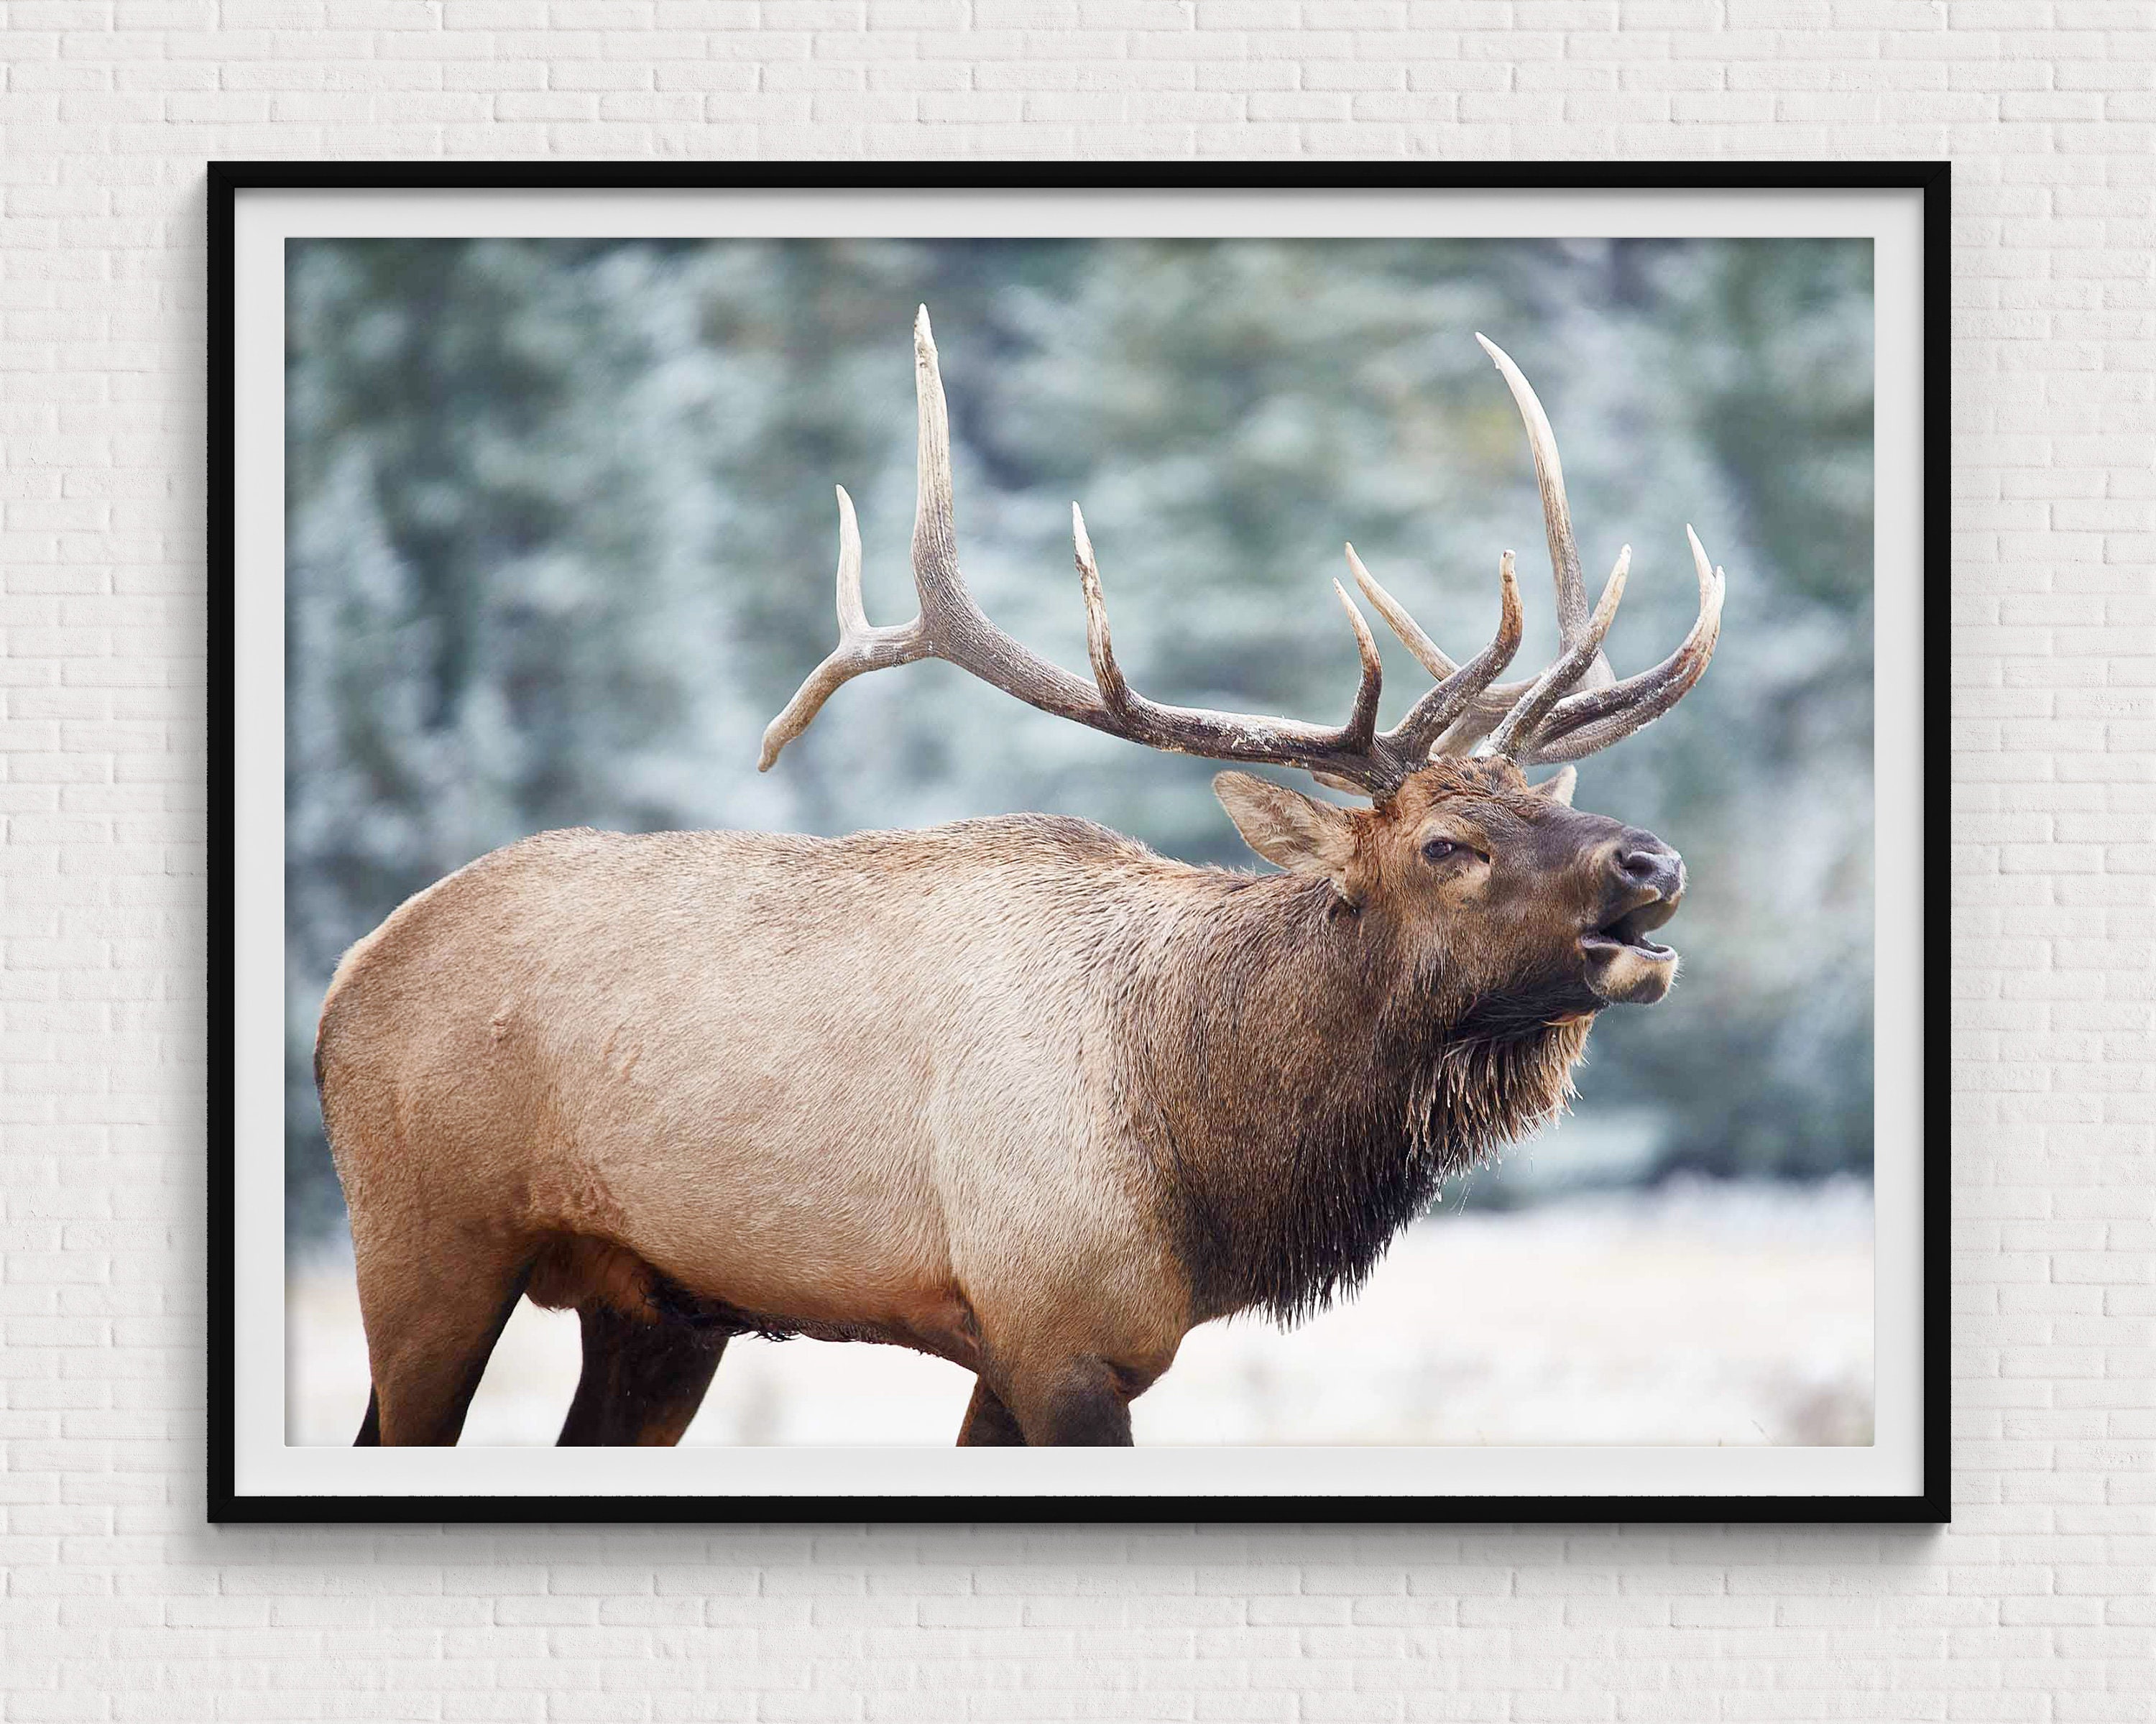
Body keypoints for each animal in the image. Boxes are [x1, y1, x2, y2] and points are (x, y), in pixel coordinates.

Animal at [316, 309, 1724, 1448]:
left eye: (1552, 802)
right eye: (1445, 844)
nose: (1654, 859)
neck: (1204, 1154)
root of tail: (346, 980)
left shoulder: (1042, 1350)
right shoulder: (1056, 1327)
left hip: (657, 1306)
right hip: (424, 1241)